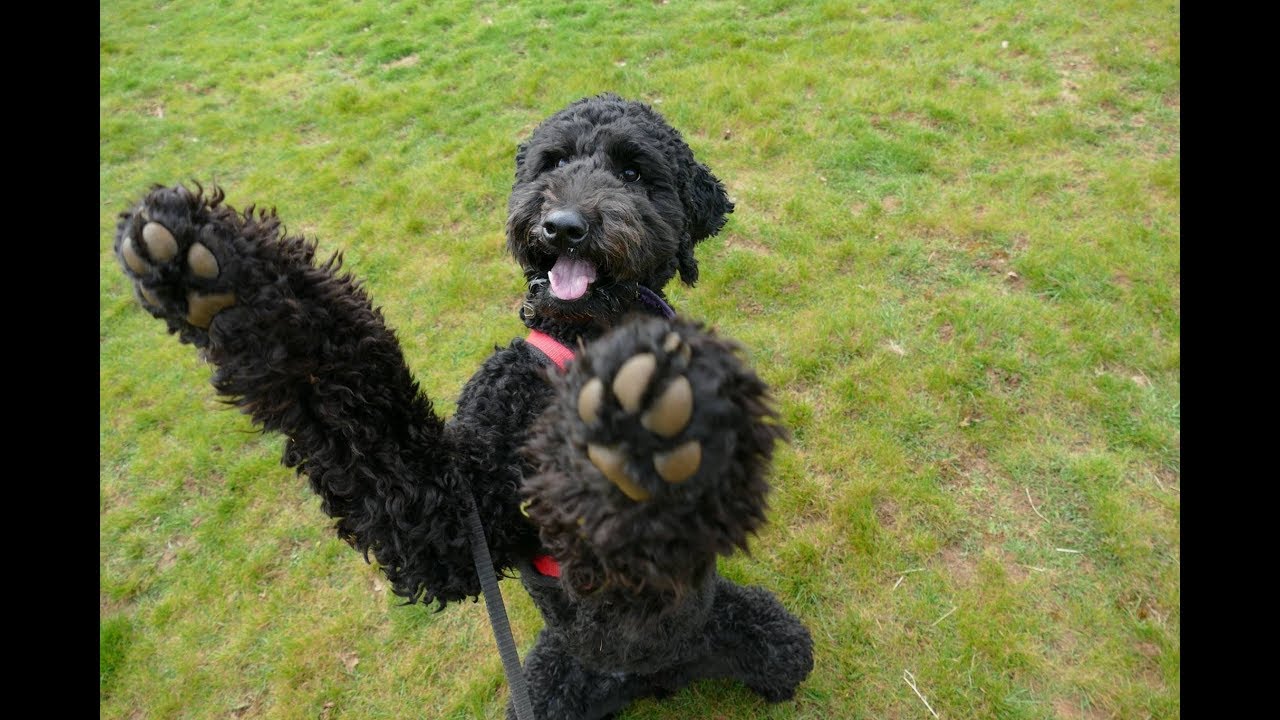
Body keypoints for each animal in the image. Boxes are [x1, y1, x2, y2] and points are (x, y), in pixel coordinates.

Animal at [110, 95, 808, 717]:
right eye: (552, 163)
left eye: (633, 172)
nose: (565, 225)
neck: (583, 339)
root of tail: (654, 681)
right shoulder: (450, 520)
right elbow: (357, 405)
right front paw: (207, 265)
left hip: (773, 641)